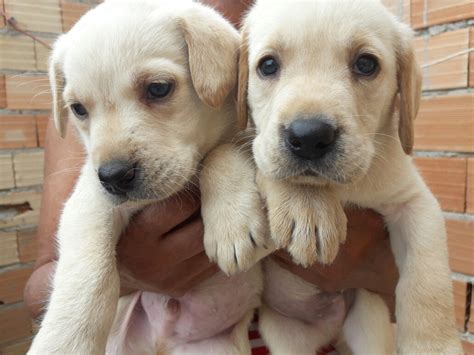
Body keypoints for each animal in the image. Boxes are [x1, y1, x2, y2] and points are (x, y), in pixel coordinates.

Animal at [28, 1, 266, 354]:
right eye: (78, 109)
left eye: (157, 89)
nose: (113, 176)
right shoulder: (89, 202)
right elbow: (89, 274)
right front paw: (65, 342)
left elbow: (221, 152)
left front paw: (231, 223)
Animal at [231, 0, 462, 354]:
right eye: (268, 65)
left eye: (366, 64)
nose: (309, 137)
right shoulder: (255, 139)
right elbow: (266, 162)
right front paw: (307, 207)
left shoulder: (414, 202)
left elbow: (427, 276)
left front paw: (433, 345)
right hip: (285, 333)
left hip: (369, 319)